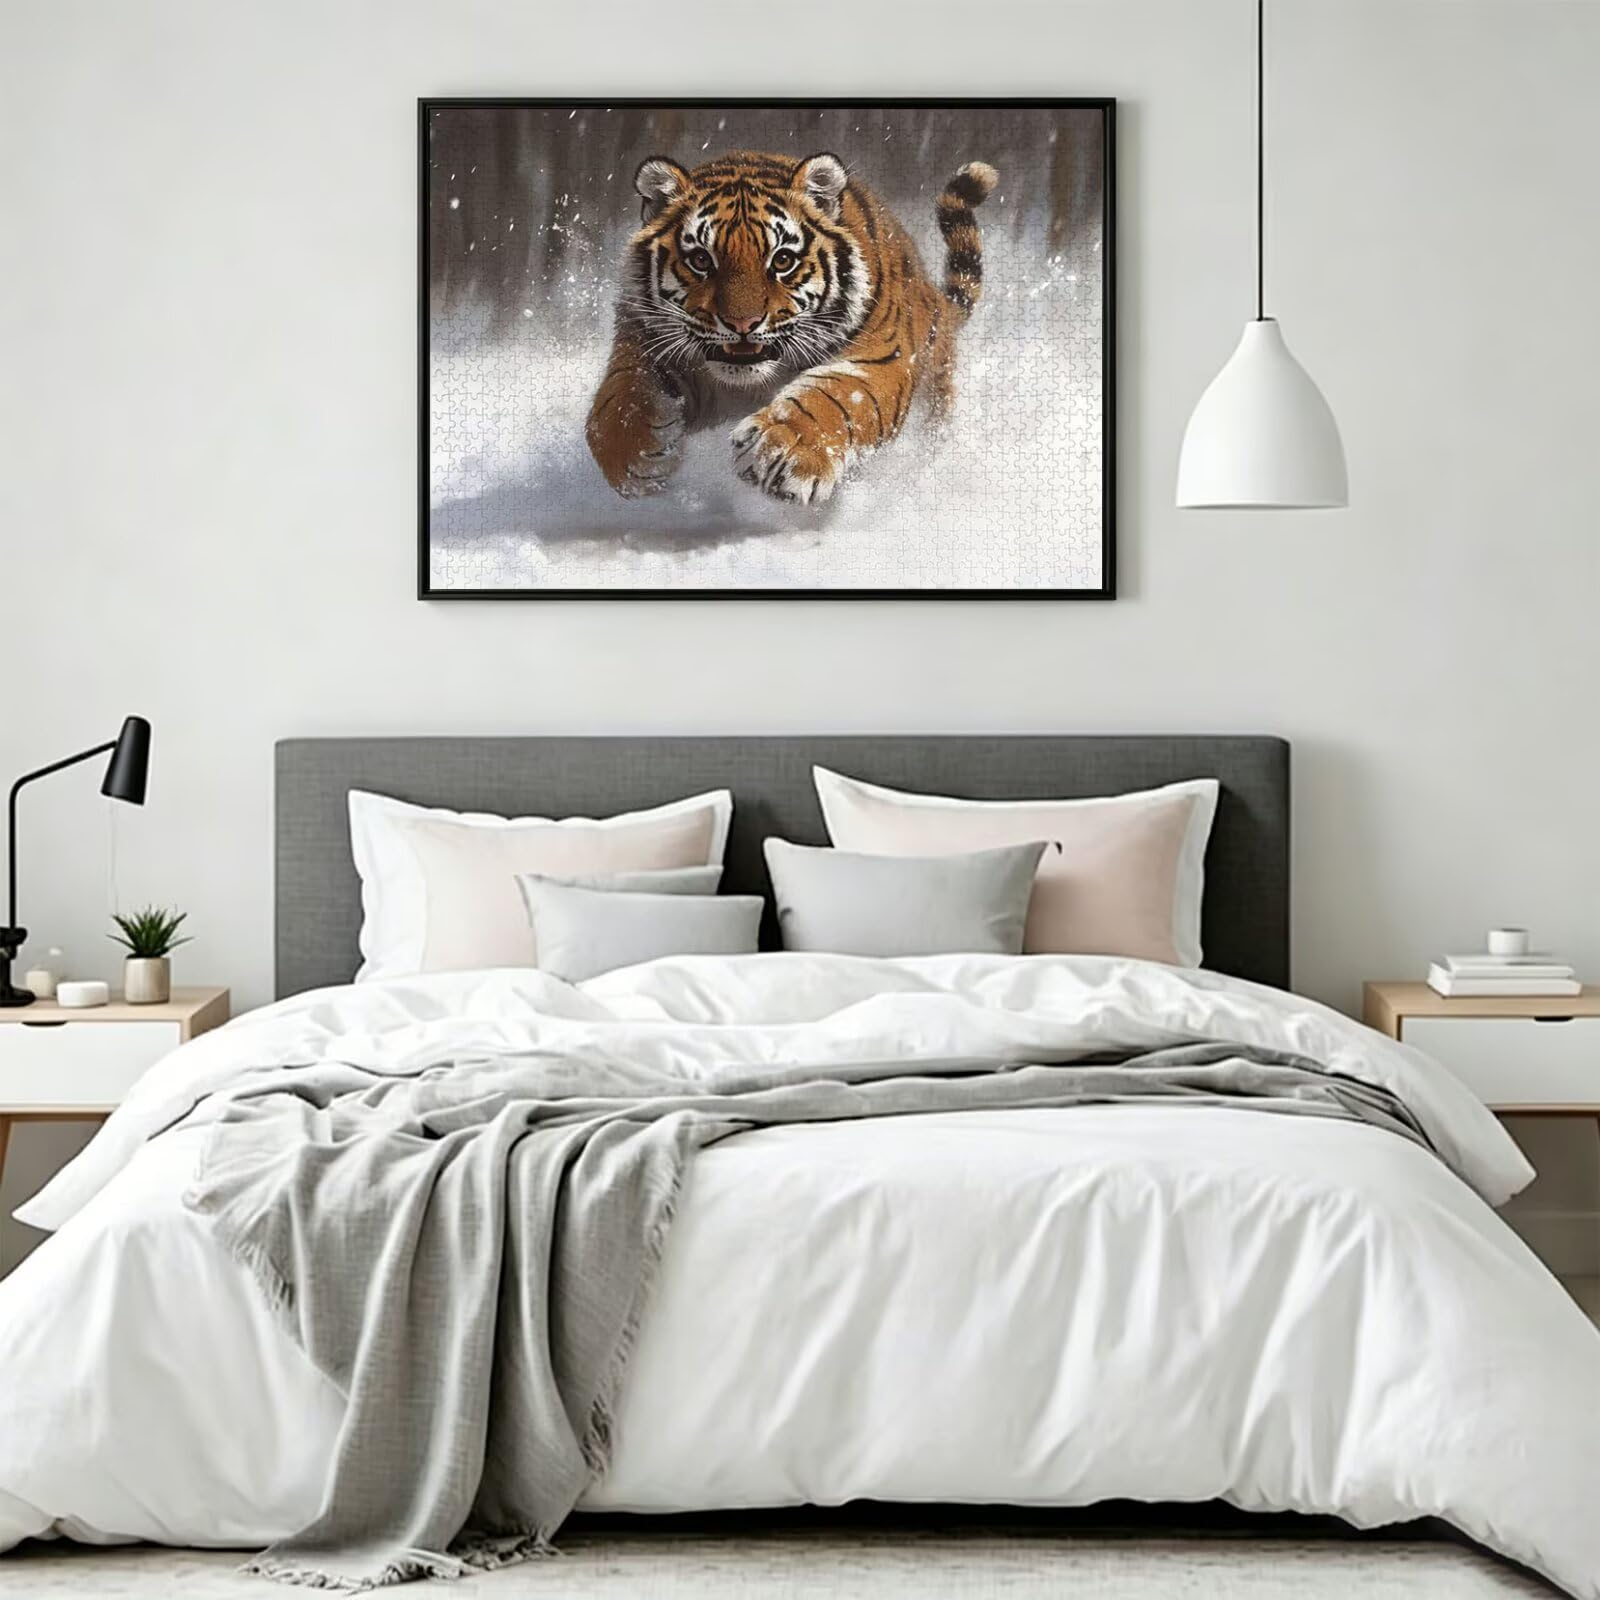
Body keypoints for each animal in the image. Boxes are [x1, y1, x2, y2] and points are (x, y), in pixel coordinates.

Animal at [585, 149, 999, 505]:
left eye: (782, 260)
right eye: (701, 260)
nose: (742, 323)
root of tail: (936, 298)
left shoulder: (881, 357)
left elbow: (837, 397)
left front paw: (782, 453)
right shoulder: (645, 335)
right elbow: (623, 393)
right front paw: (634, 455)